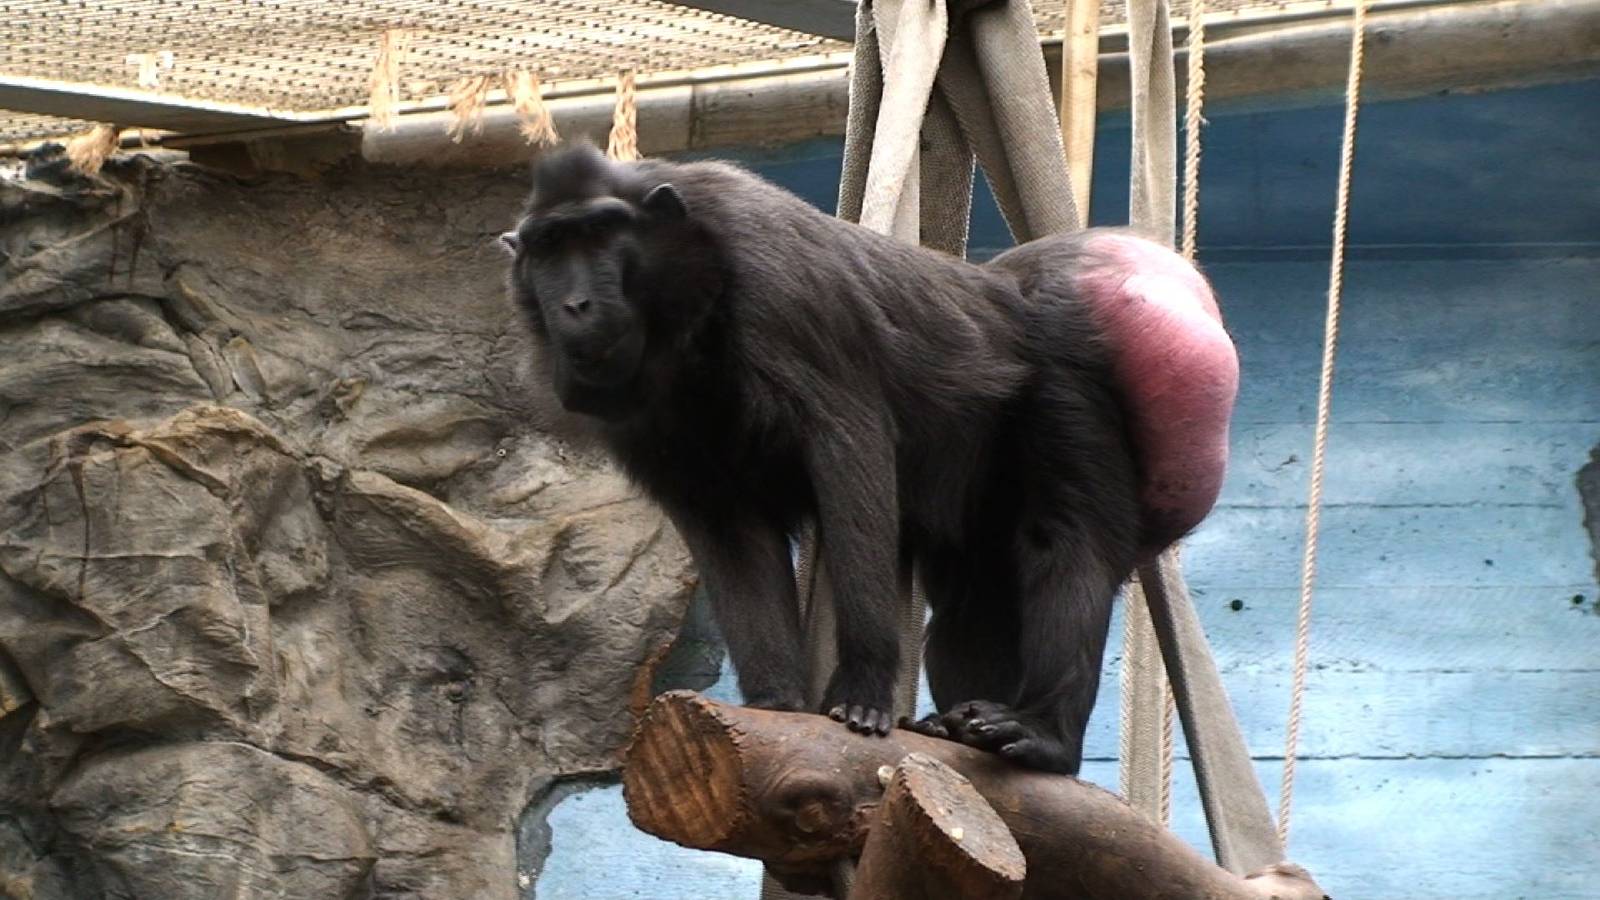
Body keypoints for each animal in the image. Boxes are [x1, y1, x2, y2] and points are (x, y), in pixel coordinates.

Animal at [500, 142, 1237, 775]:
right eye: (548, 248)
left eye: (600, 235)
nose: (573, 305)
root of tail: (1010, 291)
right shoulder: (646, 422)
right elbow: (727, 526)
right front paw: (775, 701)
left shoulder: (781, 285)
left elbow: (850, 449)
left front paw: (862, 689)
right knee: (975, 601)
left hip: (1066, 383)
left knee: (1067, 543)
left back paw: (1046, 737)